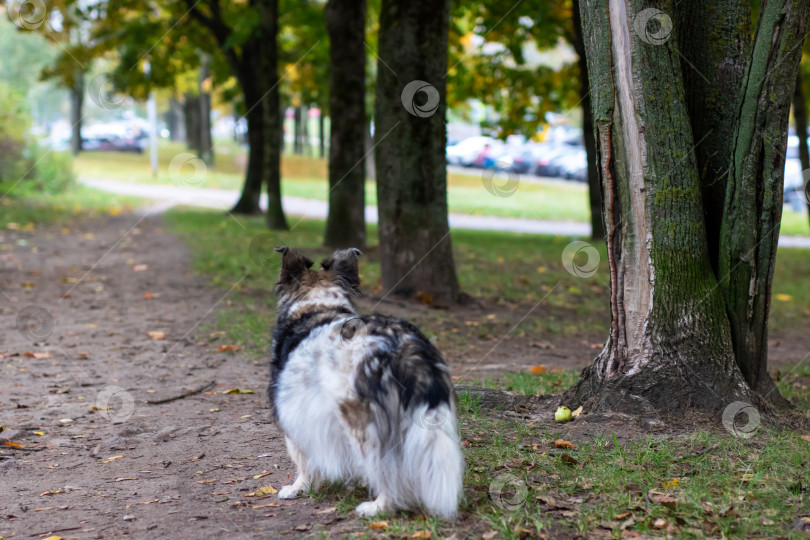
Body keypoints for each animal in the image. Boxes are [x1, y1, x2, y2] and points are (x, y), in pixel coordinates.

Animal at [270, 247, 464, 516]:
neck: (317, 304)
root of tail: (402, 343)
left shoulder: (296, 413)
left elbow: (304, 459)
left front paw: (298, 488)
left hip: (363, 423)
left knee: (387, 470)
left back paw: (378, 507)